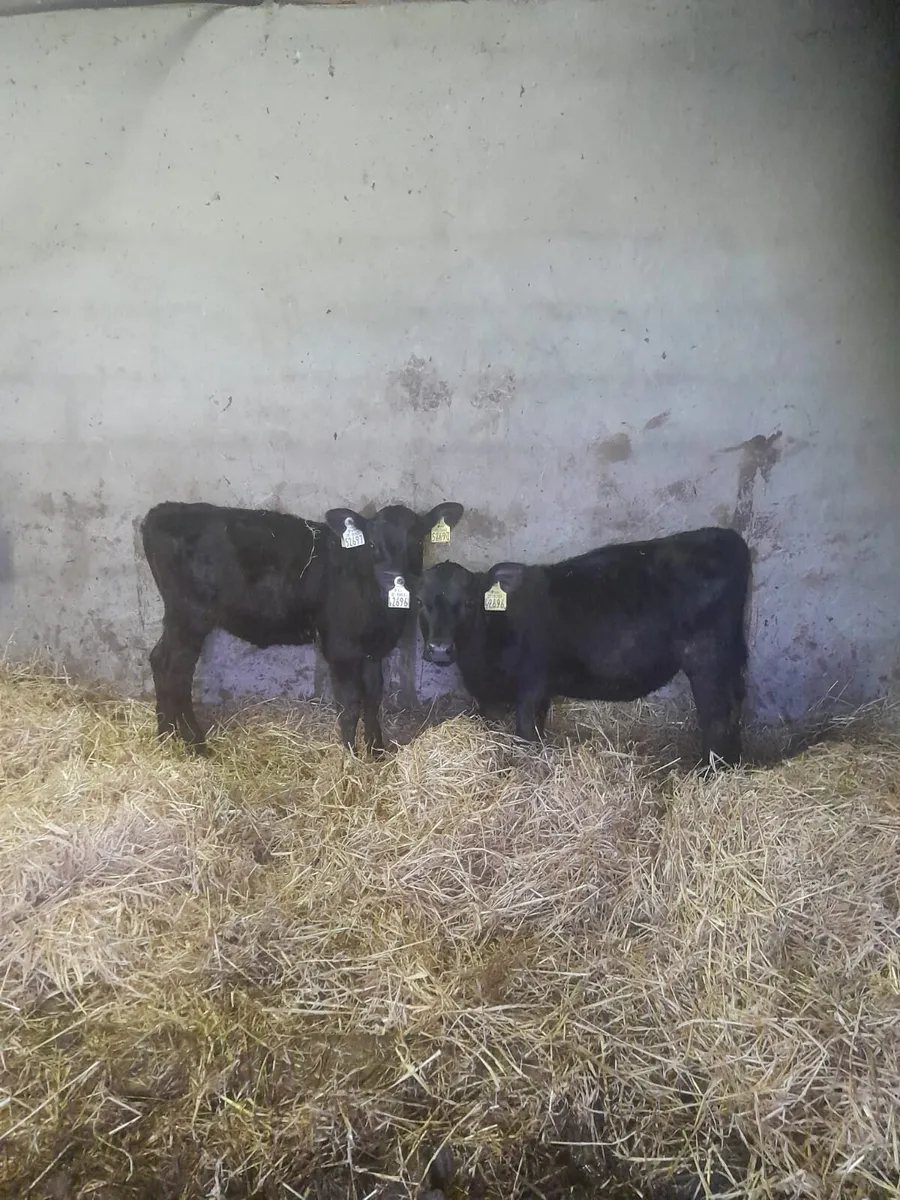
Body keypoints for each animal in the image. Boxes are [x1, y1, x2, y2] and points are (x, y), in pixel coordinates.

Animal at [141, 500, 464, 755]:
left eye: (418, 542)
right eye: (372, 545)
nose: (393, 579)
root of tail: (164, 511)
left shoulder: (375, 650)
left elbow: (373, 698)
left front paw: (377, 752)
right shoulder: (340, 648)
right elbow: (350, 704)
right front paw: (350, 758)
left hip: (181, 619)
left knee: (161, 661)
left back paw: (167, 736)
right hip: (190, 617)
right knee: (174, 670)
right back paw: (194, 743)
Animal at [401, 527, 751, 765]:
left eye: (469, 602)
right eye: (418, 602)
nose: (440, 649)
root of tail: (725, 536)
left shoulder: (533, 684)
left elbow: (526, 734)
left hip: (707, 658)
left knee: (718, 717)